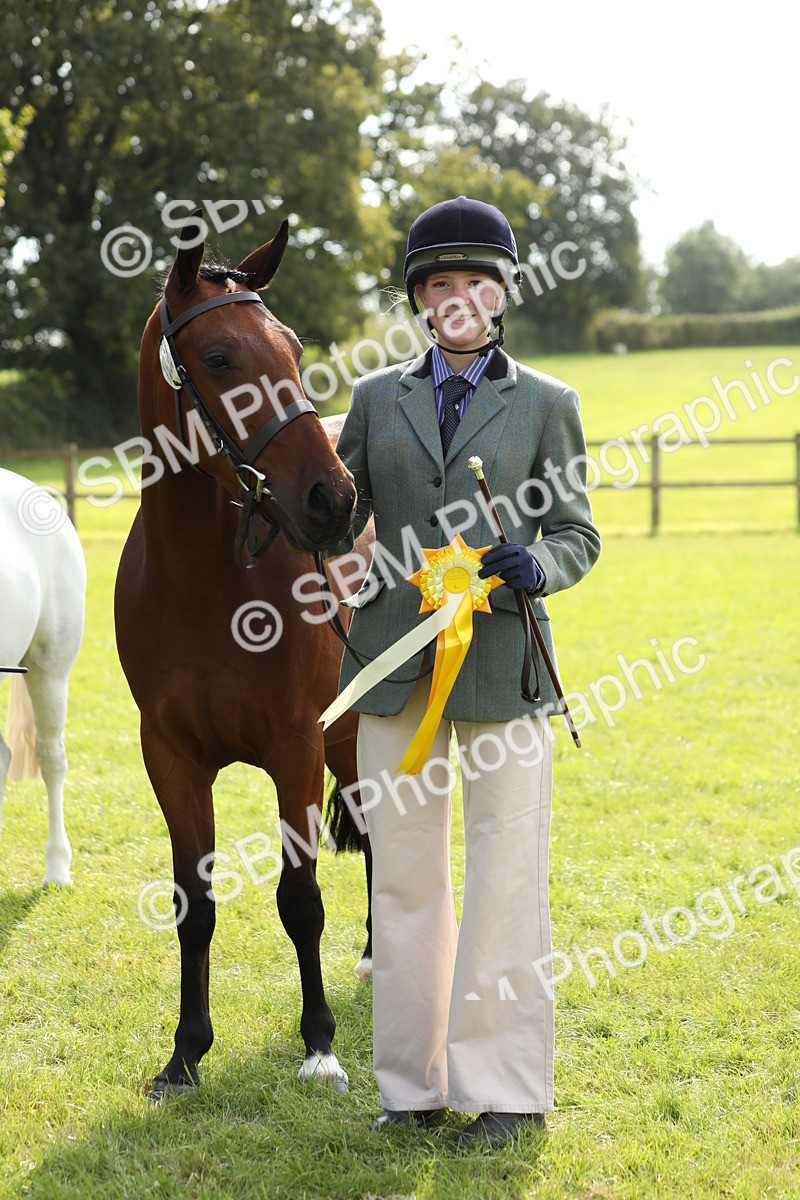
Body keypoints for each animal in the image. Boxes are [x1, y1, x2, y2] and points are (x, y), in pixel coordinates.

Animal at [114, 220, 372, 1100]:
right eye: (220, 356)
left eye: (292, 347)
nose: (335, 499)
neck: (203, 583)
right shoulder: (170, 757)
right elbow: (194, 903)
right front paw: (184, 1053)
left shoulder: (294, 748)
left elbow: (301, 900)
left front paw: (320, 1045)